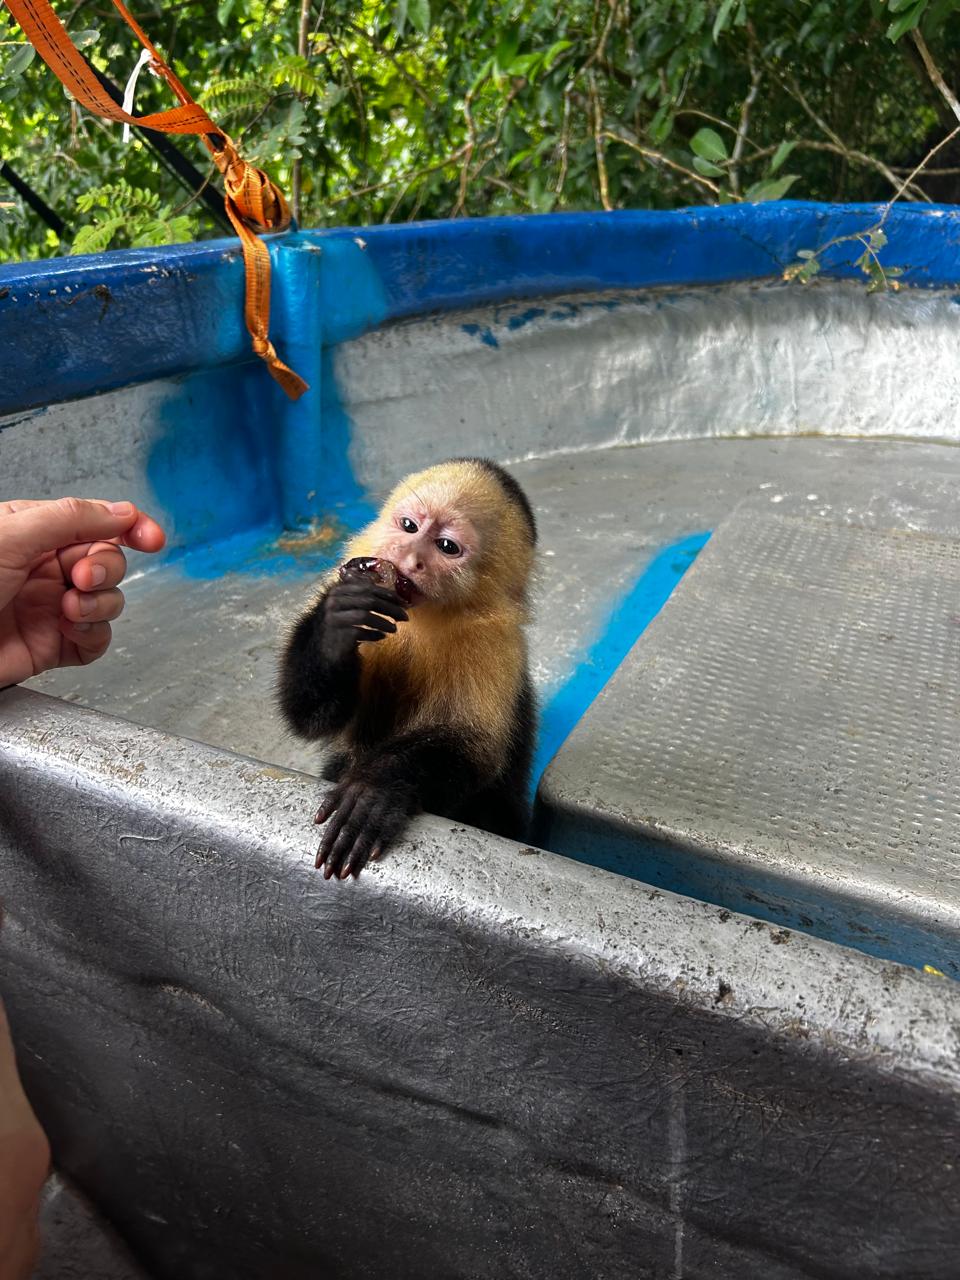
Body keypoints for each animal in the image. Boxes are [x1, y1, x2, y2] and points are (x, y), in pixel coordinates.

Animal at [278, 457, 537, 880]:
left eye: (447, 547)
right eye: (409, 526)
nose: (410, 555)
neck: (421, 616)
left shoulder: (493, 641)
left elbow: (470, 746)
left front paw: (374, 790)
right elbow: (313, 718)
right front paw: (337, 627)